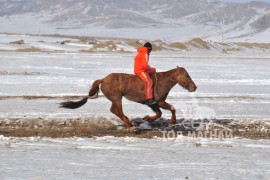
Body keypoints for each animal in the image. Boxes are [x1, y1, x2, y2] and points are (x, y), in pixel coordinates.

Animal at [60, 66, 197, 128]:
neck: (163, 81)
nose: (194, 87)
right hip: (117, 98)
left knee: (114, 111)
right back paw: (130, 125)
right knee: (118, 111)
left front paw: (147, 119)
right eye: (186, 75)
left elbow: (159, 114)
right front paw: (172, 122)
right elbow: (172, 108)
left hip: (115, 99)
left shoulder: (153, 104)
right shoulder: (160, 101)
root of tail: (103, 79)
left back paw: (129, 122)